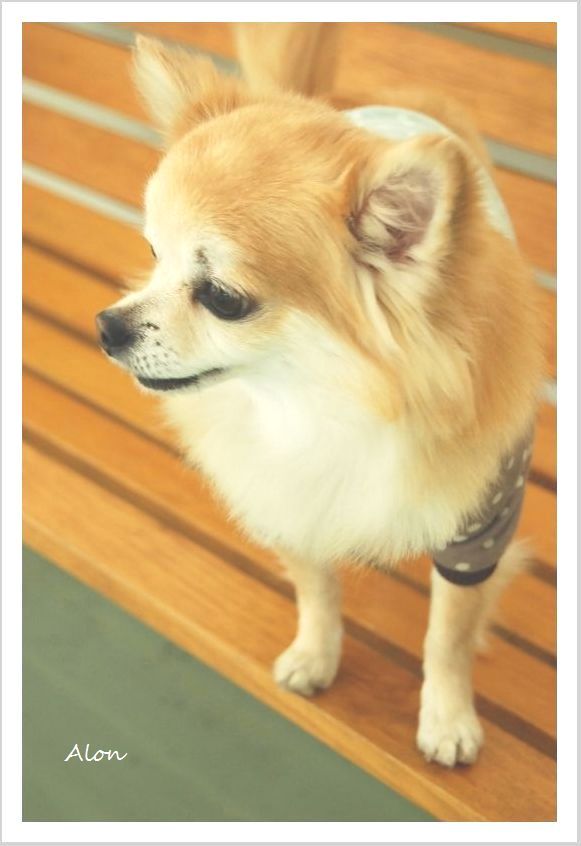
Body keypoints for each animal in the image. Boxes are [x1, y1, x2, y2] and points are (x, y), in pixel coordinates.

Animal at [96, 24, 545, 767]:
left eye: (223, 298)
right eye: (152, 255)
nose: (107, 326)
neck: (323, 408)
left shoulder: (479, 528)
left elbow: (448, 635)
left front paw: (447, 716)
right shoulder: (287, 494)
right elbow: (315, 588)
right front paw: (316, 653)